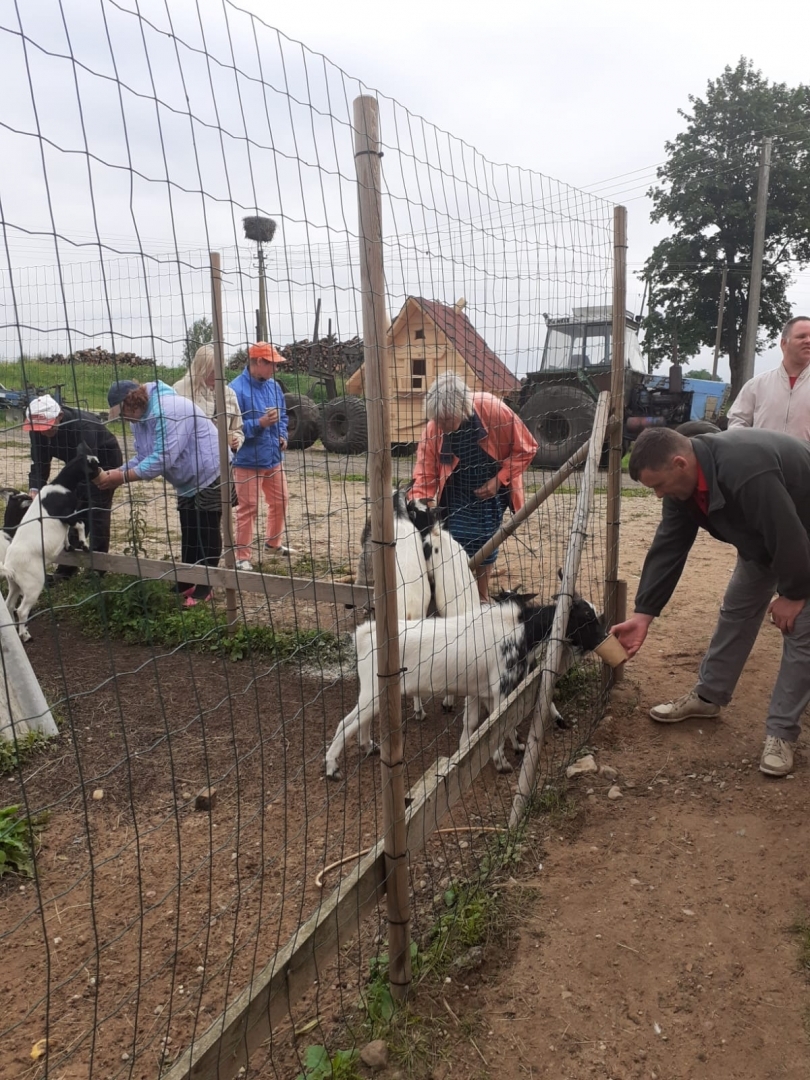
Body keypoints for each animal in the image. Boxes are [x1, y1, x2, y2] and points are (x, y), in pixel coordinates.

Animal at [0, 447, 100, 639]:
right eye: (93, 465)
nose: (102, 471)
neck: (61, 486)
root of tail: (10, 566)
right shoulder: (68, 515)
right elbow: (80, 524)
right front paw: (84, 545)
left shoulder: (66, 521)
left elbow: (67, 533)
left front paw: (69, 546)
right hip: (33, 585)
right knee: (21, 610)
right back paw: (25, 635)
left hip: (15, 584)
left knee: (9, 604)